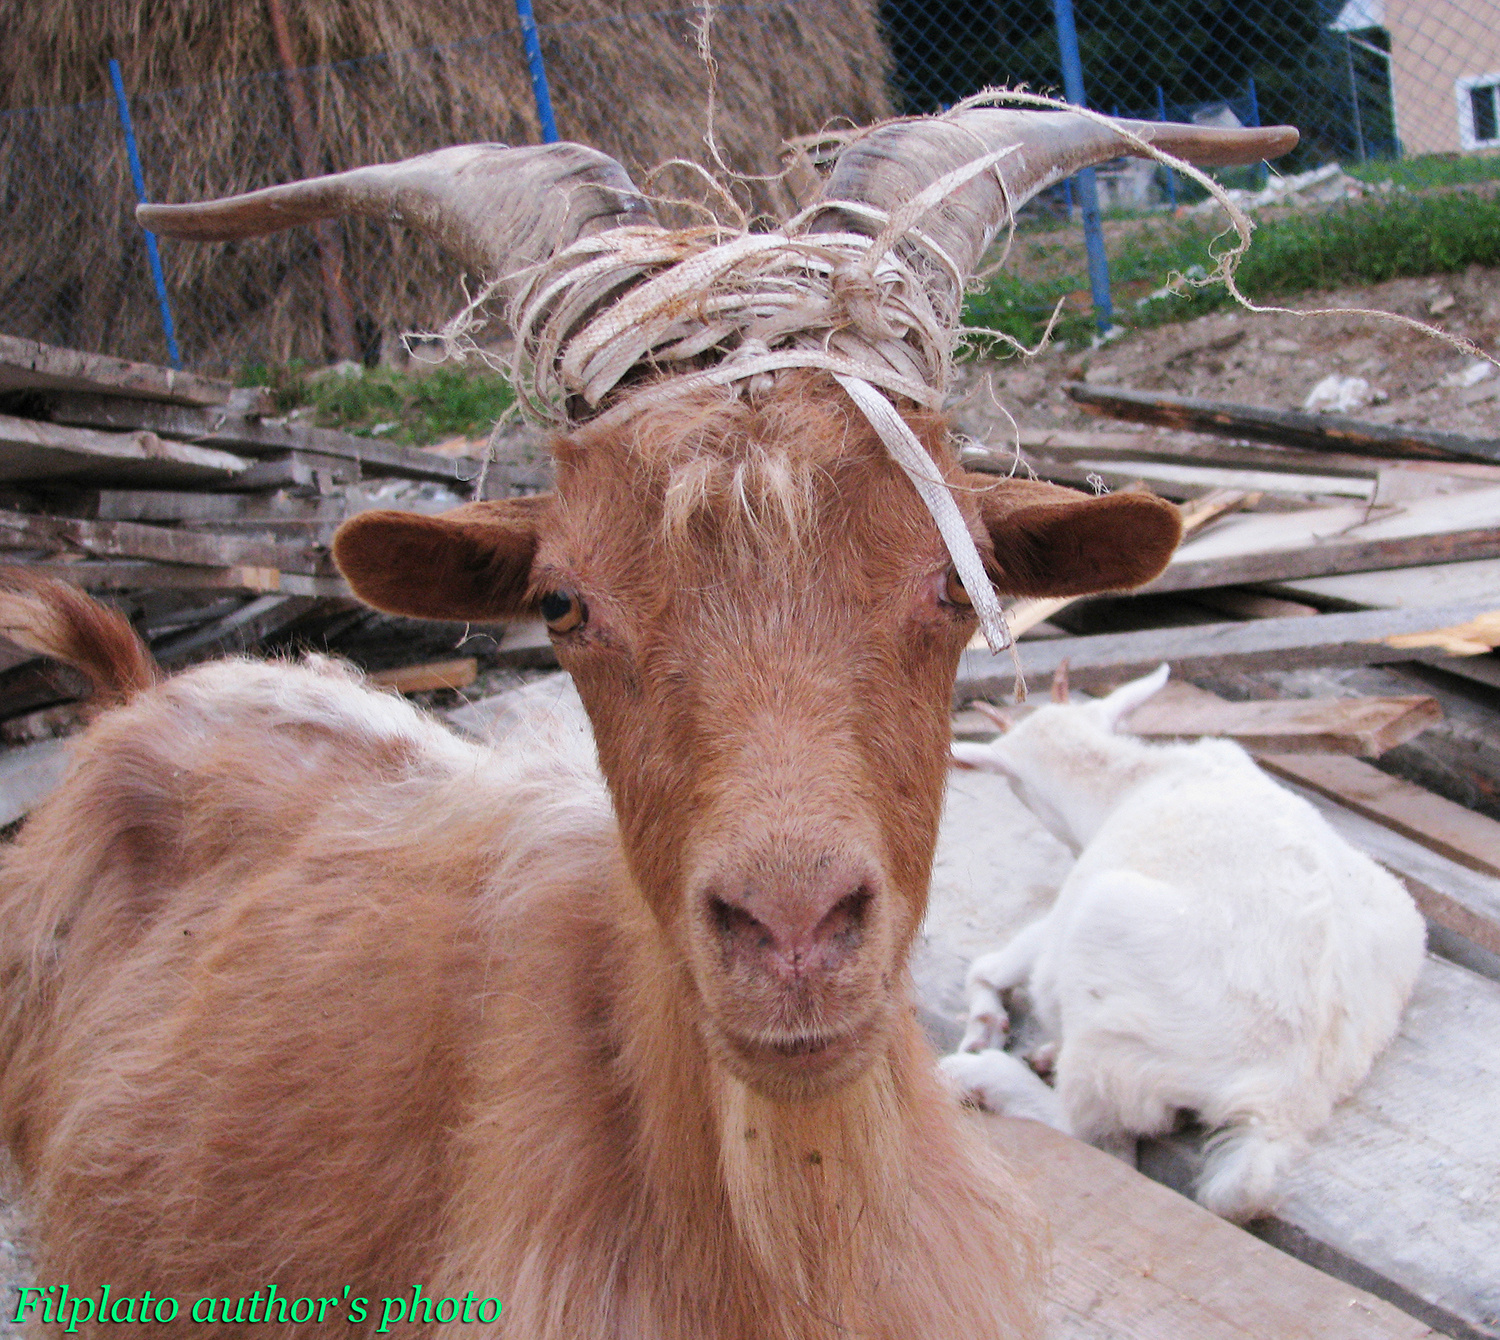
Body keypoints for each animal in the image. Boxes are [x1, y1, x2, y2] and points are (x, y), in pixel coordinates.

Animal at [939, 665, 1427, 1222]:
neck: (1128, 777)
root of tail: (1282, 1099)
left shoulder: (1070, 906)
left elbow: (991, 965)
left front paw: (984, 1027)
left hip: (1105, 947)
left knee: (1094, 1134)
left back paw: (981, 1075)